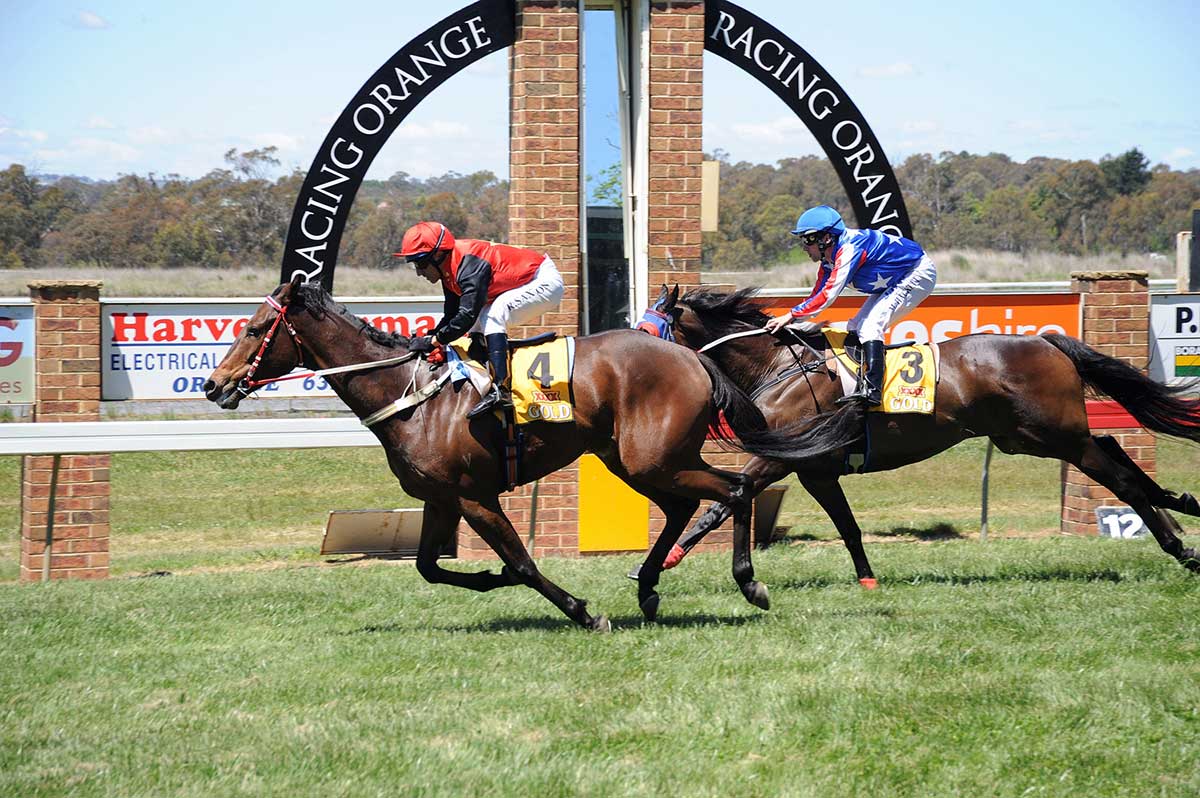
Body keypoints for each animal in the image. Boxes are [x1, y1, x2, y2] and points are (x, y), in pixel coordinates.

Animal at [204, 278, 835, 628]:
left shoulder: (473, 497)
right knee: (686, 506)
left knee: (734, 488)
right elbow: (430, 567)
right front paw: (489, 578)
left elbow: (525, 564)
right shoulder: (441, 499)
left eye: (256, 329)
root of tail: (692, 356)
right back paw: (649, 588)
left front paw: (583, 612)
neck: (409, 396)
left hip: (655, 458)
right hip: (629, 459)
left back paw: (749, 584)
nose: (213, 385)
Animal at [643, 286, 1200, 585]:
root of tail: (1048, 342)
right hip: (1026, 436)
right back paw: (1179, 507)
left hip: (1052, 434)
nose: (633, 352)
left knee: (1117, 476)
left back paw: (1180, 543)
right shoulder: (813, 469)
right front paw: (667, 559)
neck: (780, 367)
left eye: (649, 328)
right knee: (1111, 449)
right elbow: (838, 524)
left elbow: (731, 500)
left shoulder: (788, 458)